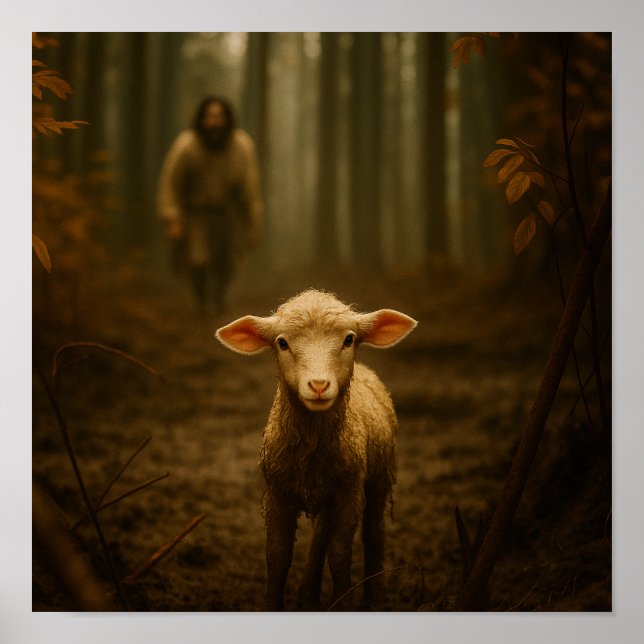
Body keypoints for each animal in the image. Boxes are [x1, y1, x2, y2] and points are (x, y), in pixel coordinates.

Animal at [215, 289, 417, 610]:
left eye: (348, 339)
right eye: (282, 342)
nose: (319, 385)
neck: (311, 448)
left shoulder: (349, 493)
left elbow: (340, 555)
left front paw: (343, 602)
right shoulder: (277, 494)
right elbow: (278, 557)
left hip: (380, 476)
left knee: (373, 533)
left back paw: (373, 598)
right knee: (321, 534)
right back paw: (307, 595)